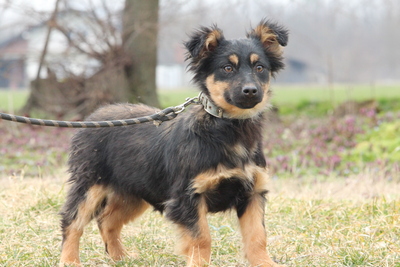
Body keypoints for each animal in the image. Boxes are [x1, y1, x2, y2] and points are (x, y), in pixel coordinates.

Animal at [60, 19, 288, 266]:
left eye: (260, 68)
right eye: (227, 68)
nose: (250, 91)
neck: (229, 128)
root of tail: (94, 116)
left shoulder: (253, 193)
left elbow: (257, 237)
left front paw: (265, 263)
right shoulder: (187, 197)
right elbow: (201, 238)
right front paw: (199, 263)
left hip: (134, 191)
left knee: (107, 220)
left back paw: (120, 257)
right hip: (90, 184)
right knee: (72, 221)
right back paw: (70, 260)